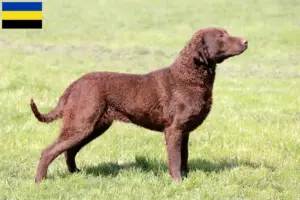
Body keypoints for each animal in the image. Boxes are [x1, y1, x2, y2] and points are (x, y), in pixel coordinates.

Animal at [29, 27, 248, 183]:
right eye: (221, 35)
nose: (246, 41)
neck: (188, 77)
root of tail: (73, 85)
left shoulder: (184, 131)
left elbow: (184, 157)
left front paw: (186, 180)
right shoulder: (174, 129)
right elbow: (175, 160)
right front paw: (177, 182)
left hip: (93, 126)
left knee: (69, 151)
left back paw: (76, 173)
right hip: (81, 124)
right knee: (49, 151)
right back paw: (40, 181)